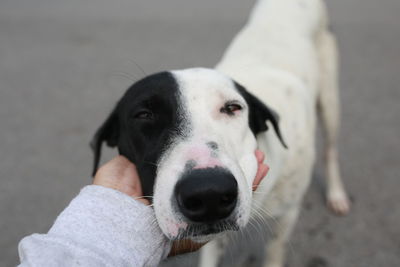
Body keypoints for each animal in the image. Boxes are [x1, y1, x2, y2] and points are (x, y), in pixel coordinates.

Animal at [90, 0, 350, 267]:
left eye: (233, 108)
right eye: (144, 114)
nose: (209, 193)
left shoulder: (288, 214)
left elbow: (274, 251)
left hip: (330, 103)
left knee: (331, 150)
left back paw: (336, 195)